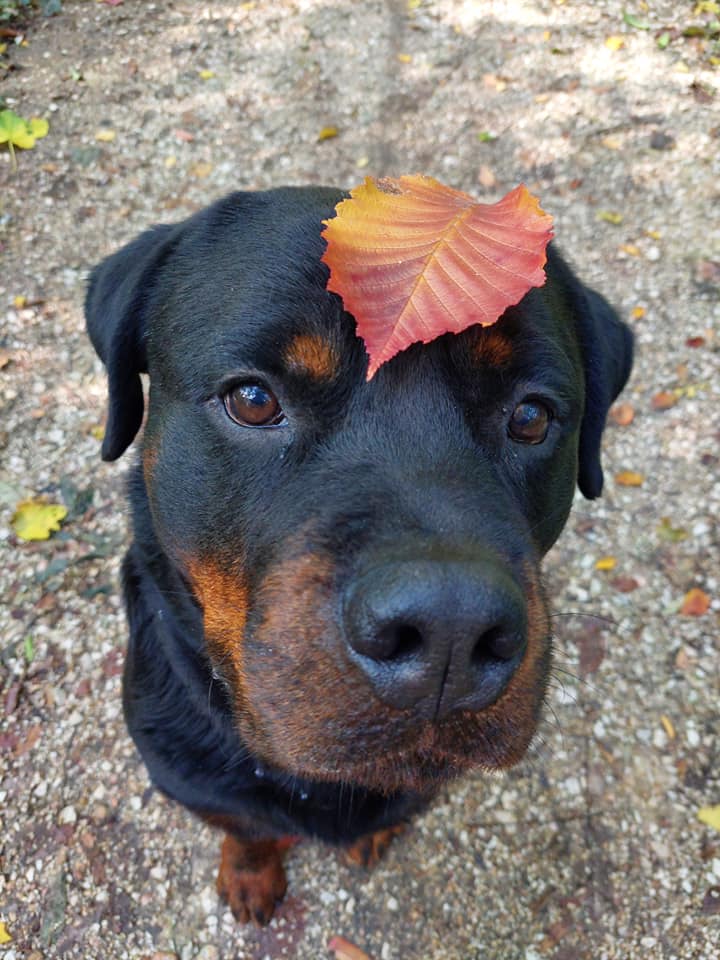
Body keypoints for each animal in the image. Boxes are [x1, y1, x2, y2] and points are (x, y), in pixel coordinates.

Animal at [87, 184, 632, 928]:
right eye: (251, 399)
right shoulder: (190, 776)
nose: (450, 629)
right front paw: (250, 876)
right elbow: (246, 829)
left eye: (531, 417)